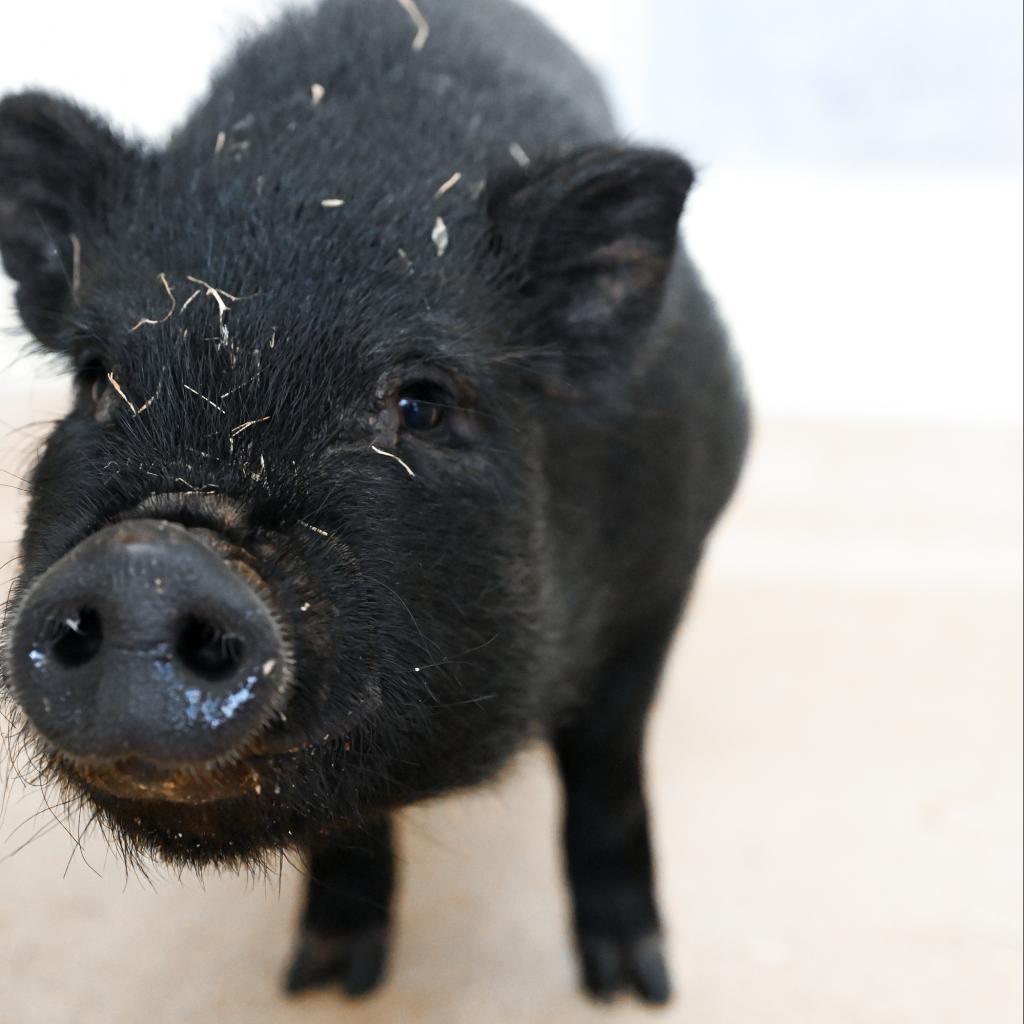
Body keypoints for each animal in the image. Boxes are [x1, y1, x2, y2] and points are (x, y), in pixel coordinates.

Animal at [0, 0, 748, 1005]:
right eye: (97, 379)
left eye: (422, 402)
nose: (148, 562)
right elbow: (346, 822)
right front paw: (327, 984)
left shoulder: (670, 568)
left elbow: (607, 764)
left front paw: (633, 989)